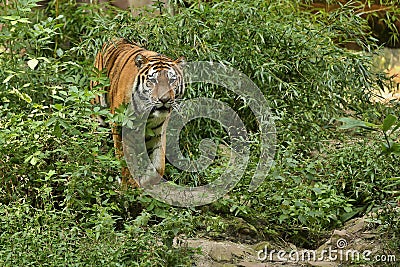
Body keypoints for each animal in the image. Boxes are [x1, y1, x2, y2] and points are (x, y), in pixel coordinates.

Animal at [91, 38, 185, 188]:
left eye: (172, 80)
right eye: (153, 80)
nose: (164, 99)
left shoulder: (158, 131)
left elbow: (158, 166)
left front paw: (142, 183)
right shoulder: (120, 125)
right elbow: (125, 160)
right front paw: (127, 187)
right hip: (97, 113)